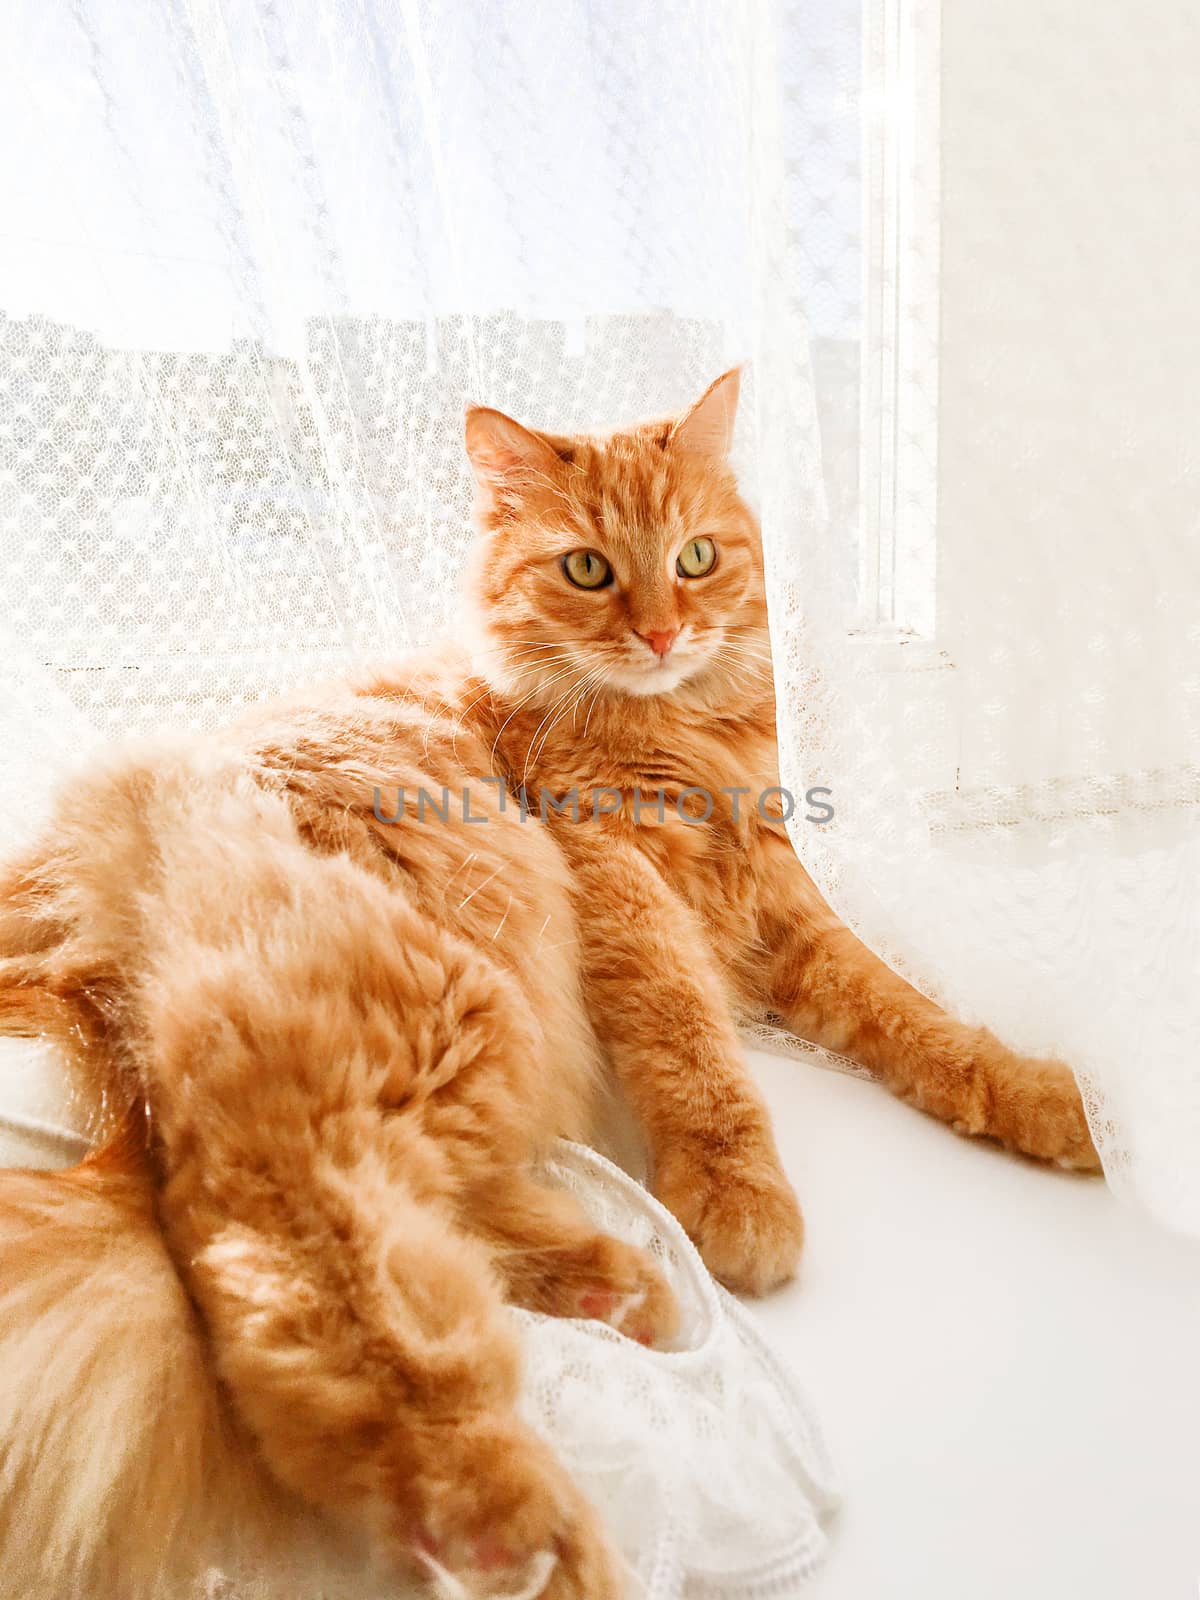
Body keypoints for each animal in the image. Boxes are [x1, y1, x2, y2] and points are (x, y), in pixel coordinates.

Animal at [0, 366, 1100, 1600]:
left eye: (697, 557)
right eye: (588, 570)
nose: (664, 631)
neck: (676, 727)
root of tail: (72, 882)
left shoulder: (779, 905)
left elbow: (915, 1018)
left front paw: (1043, 1097)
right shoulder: (619, 882)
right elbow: (694, 1050)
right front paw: (736, 1190)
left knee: (391, 1219)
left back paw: (603, 1285)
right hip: (433, 1005)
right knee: (276, 1244)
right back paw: (505, 1519)